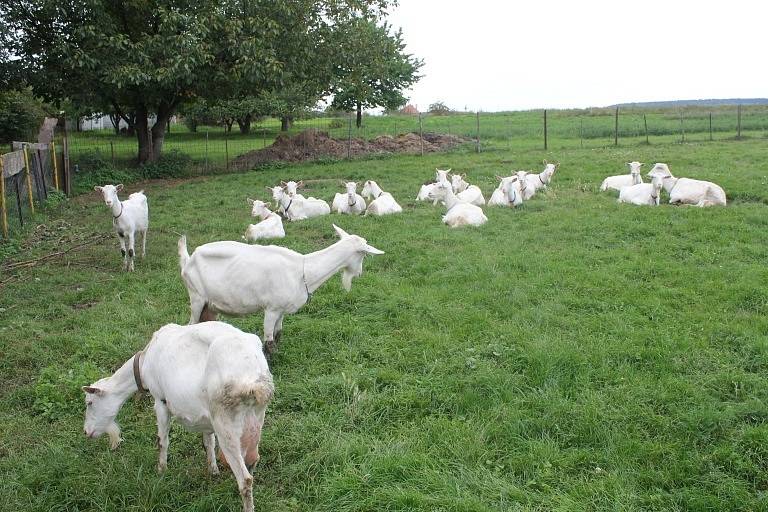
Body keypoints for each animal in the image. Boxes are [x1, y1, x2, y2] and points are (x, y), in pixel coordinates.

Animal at [81, 322, 272, 512]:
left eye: (89, 402)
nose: (86, 432)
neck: (144, 361)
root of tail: (255, 380)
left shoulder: (160, 401)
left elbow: (162, 441)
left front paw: (161, 470)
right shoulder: (207, 416)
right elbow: (208, 443)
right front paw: (213, 471)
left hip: (226, 424)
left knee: (245, 479)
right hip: (255, 419)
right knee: (252, 462)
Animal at [178, 226, 384, 358]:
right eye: (364, 254)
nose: (359, 273)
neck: (303, 270)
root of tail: (188, 260)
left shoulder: (281, 311)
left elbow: (278, 333)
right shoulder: (271, 309)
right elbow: (268, 339)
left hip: (209, 305)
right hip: (196, 297)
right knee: (190, 324)